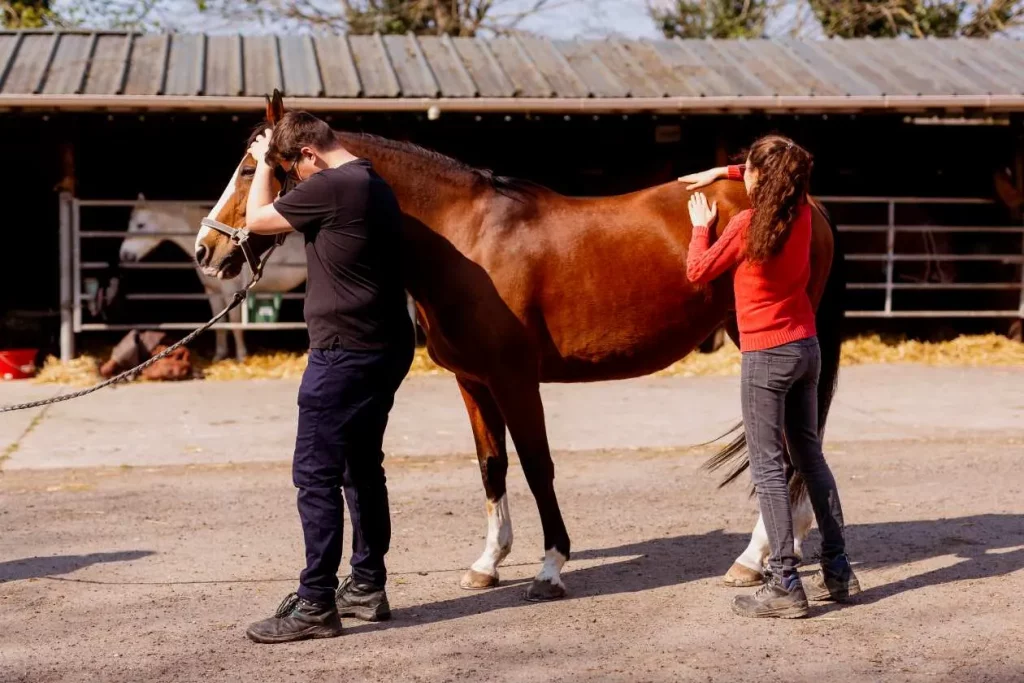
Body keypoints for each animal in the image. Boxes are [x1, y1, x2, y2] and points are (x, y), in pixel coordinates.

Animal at [119, 197, 308, 360]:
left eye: (140, 225)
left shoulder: (230, 292)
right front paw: (220, 354)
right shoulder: (213, 292)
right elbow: (220, 324)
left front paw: (241, 356)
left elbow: (235, 323)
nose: (125, 254)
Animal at [194, 92, 845, 600]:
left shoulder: (514, 379)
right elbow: (493, 466)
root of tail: (804, 200)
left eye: (252, 170)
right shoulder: (474, 381)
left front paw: (551, 566)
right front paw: (487, 564)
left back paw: (753, 559)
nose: (207, 250)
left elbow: (536, 465)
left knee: (785, 448)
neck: (465, 239)